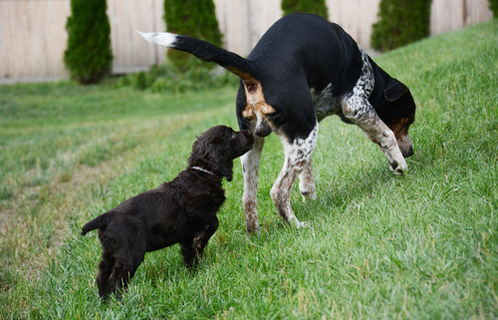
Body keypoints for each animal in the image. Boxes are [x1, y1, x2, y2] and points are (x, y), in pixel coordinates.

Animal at [82, 125, 253, 298]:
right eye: (232, 135)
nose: (249, 132)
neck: (201, 173)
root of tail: (107, 217)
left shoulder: (185, 234)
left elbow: (189, 253)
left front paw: (195, 270)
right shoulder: (197, 213)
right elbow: (213, 223)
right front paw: (200, 243)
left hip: (109, 252)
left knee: (101, 276)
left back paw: (106, 302)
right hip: (130, 252)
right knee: (115, 278)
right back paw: (122, 301)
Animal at [140, 12, 416, 235]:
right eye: (409, 119)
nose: (411, 152)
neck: (369, 73)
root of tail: (256, 67)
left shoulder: (303, 133)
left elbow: (308, 174)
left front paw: (310, 195)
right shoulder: (355, 106)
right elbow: (387, 135)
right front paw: (401, 165)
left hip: (253, 143)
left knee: (248, 198)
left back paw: (256, 234)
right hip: (305, 132)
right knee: (278, 191)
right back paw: (296, 225)